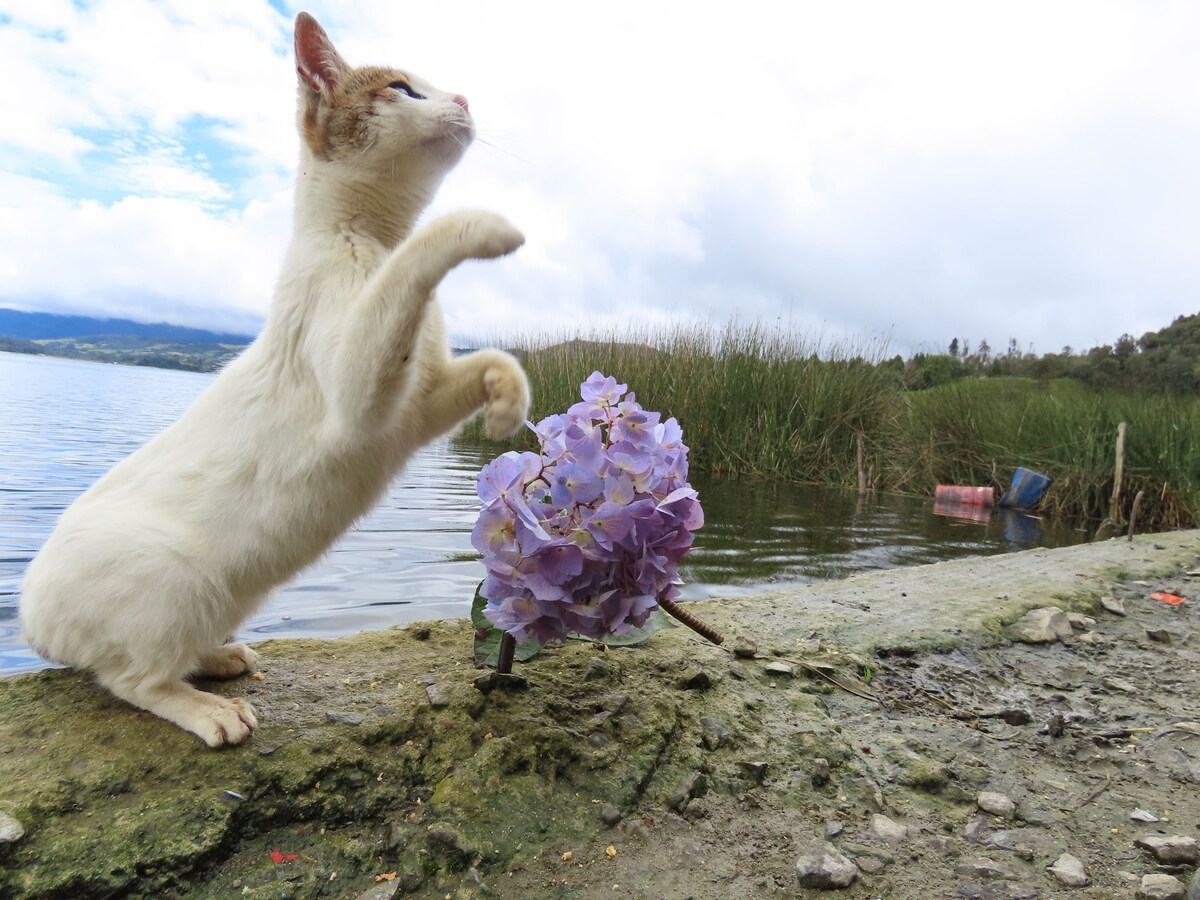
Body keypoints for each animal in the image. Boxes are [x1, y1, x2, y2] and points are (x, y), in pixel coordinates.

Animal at [18, 12, 530, 748]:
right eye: (404, 89)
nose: (461, 98)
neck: (369, 236)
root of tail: (28, 613)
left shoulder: (413, 410)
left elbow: (491, 359)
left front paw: (507, 402)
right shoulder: (360, 397)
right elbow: (418, 257)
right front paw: (481, 226)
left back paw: (218, 656)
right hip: (177, 579)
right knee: (130, 679)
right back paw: (207, 707)